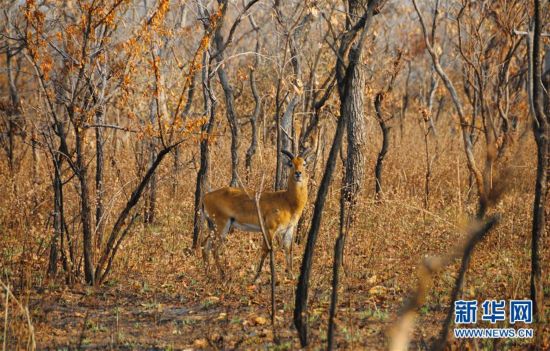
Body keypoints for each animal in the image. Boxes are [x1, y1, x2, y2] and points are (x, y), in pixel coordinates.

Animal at [203, 149, 314, 280]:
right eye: (291, 164)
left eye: (304, 164)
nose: (298, 173)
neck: (288, 201)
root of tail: (205, 197)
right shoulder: (269, 229)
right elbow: (266, 250)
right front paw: (256, 277)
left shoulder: (289, 229)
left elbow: (288, 249)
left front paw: (291, 276)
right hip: (222, 226)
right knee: (214, 248)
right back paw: (223, 275)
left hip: (214, 227)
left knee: (205, 245)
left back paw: (208, 274)